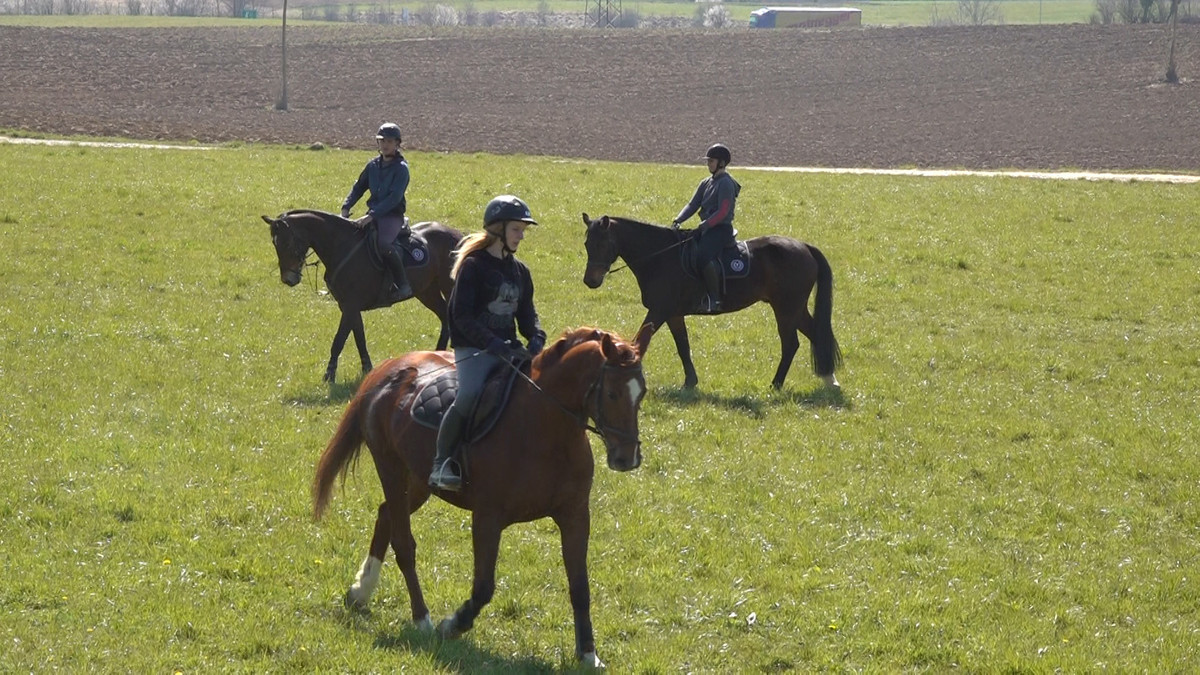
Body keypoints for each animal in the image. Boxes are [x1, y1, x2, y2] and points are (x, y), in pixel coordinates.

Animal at [262, 207, 463, 381]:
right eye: (274, 243)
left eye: (287, 242)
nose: (288, 279)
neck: (340, 246)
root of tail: (458, 235)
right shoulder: (348, 306)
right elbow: (359, 337)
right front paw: (367, 368)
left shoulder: (351, 305)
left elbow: (339, 340)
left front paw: (329, 375)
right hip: (427, 291)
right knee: (444, 316)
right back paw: (436, 355)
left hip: (446, 287)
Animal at [309, 324, 648, 662]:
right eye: (612, 393)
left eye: (641, 392)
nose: (627, 458)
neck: (545, 429)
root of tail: (387, 370)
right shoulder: (487, 517)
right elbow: (484, 586)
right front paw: (452, 624)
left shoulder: (575, 516)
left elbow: (580, 586)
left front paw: (588, 653)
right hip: (390, 467)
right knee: (404, 543)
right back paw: (422, 619)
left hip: (418, 480)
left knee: (385, 515)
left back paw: (361, 591)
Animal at [580, 210, 844, 389]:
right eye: (586, 243)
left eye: (602, 243)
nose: (590, 281)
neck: (660, 256)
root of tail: (804, 247)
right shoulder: (673, 314)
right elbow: (683, 346)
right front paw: (690, 382)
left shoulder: (659, 310)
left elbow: (640, 341)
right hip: (795, 309)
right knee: (816, 334)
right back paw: (829, 380)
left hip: (786, 309)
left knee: (791, 345)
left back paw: (776, 385)